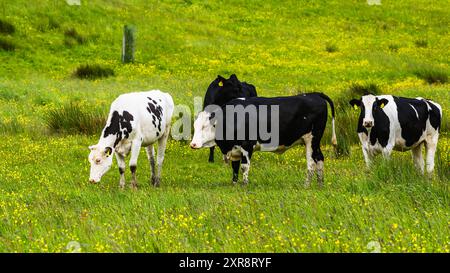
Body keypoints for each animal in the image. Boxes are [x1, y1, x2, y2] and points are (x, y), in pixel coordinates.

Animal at [191, 92, 338, 186]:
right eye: (195, 126)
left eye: (205, 127)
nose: (193, 144)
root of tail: (315, 94)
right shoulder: (235, 149)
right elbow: (235, 167)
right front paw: (234, 184)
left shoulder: (247, 145)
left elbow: (244, 167)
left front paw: (244, 185)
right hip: (315, 142)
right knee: (319, 158)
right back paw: (320, 184)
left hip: (311, 139)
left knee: (311, 163)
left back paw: (306, 185)